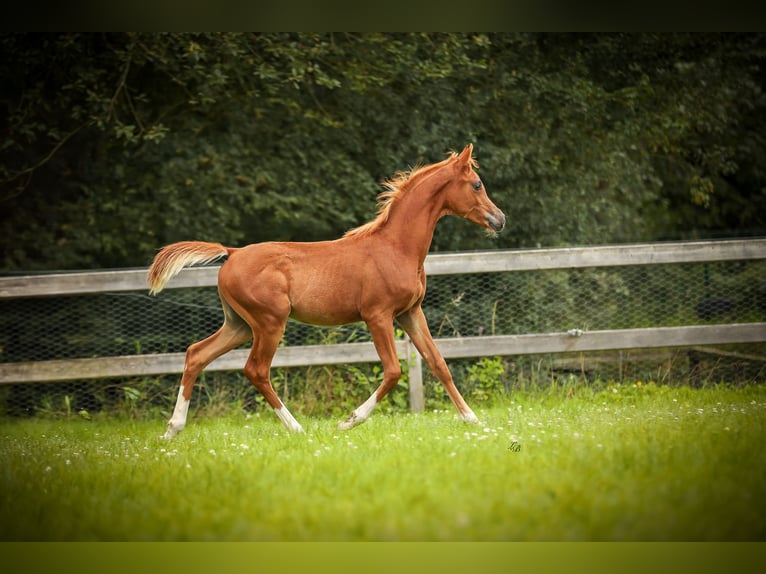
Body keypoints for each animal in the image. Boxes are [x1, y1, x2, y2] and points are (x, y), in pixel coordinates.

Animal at [148, 145, 510, 440]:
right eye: (477, 184)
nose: (500, 219)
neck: (396, 247)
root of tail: (232, 253)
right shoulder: (378, 316)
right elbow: (393, 371)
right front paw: (349, 420)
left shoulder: (410, 312)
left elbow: (438, 362)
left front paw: (473, 419)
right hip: (269, 322)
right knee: (256, 370)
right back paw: (296, 428)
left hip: (238, 325)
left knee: (196, 354)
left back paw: (172, 429)